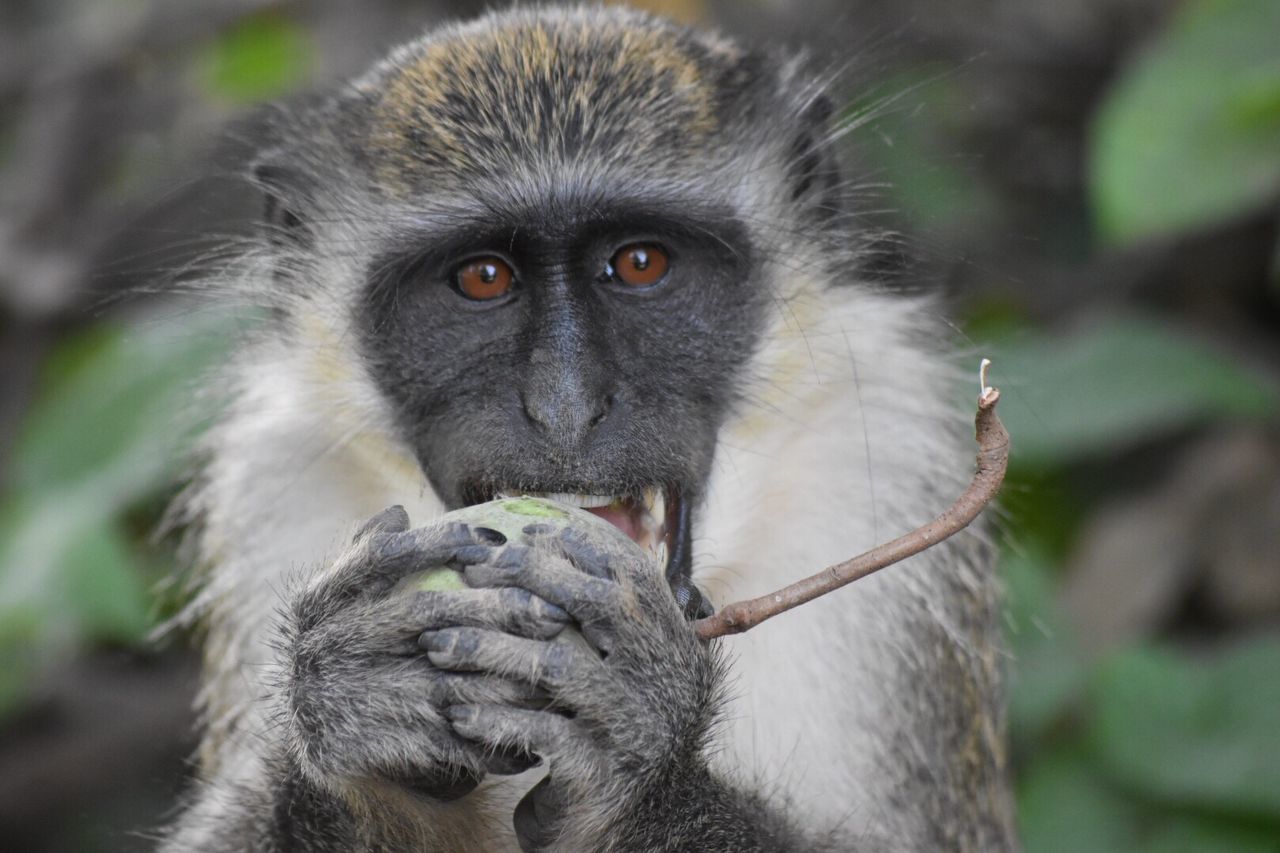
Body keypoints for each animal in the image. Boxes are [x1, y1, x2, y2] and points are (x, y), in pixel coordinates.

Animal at [160, 3, 1013, 845]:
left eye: (640, 262)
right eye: (482, 277)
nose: (564, 405)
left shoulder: (887, 462)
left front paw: (645, 742)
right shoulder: (274, 484)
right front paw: (346, 684)